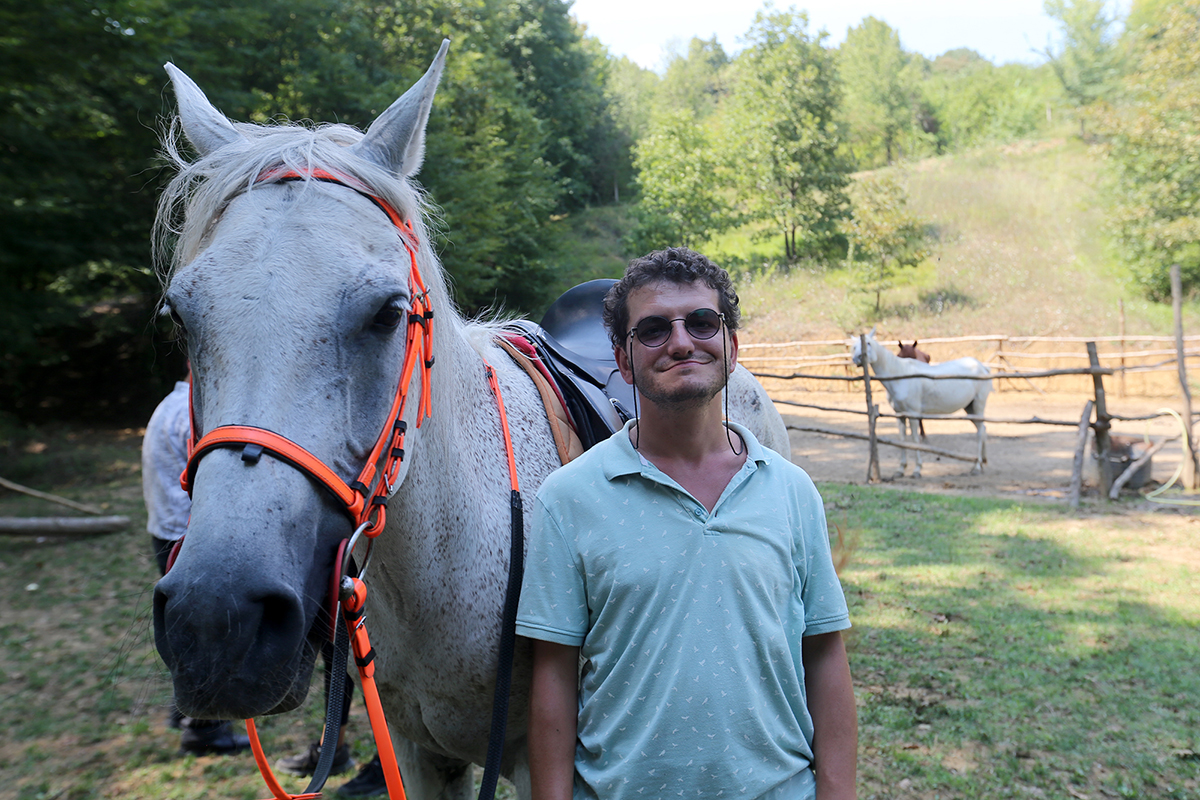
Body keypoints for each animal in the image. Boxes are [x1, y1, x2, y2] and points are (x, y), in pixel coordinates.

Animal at [152, 43, 787, 800]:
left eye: (387, 313)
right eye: (179, 317)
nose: (217, 620)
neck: (440, 562)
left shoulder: (536, 756)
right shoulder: (420, 750)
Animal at [849, 328, 988, 479]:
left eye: (868, 343)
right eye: (854, 346)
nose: (857, 359)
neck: (900, 376)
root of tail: (982, 367)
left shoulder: (913, 414)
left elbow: (915, 440)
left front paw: (917, 470)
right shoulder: (900, 415)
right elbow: (902, 439)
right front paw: (900, 470)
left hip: (978, 406)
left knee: (980, 432)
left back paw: (977, 467)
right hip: (970, 408)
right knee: (982, 428)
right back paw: (982, 462)